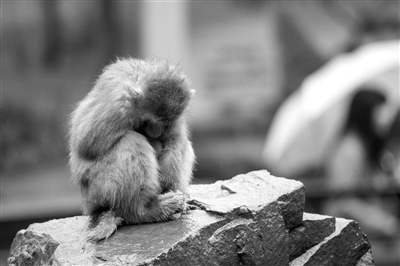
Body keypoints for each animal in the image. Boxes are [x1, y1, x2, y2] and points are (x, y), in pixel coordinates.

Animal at [69, 57, 197, 241]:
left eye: (165, 123)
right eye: (151, 121)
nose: (156, 131)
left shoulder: (176, 117)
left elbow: (175, 139)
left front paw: (169, 182)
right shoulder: (117, 106)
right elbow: (85, 143)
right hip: (97, 190)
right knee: (132, 141)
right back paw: (142, 211)